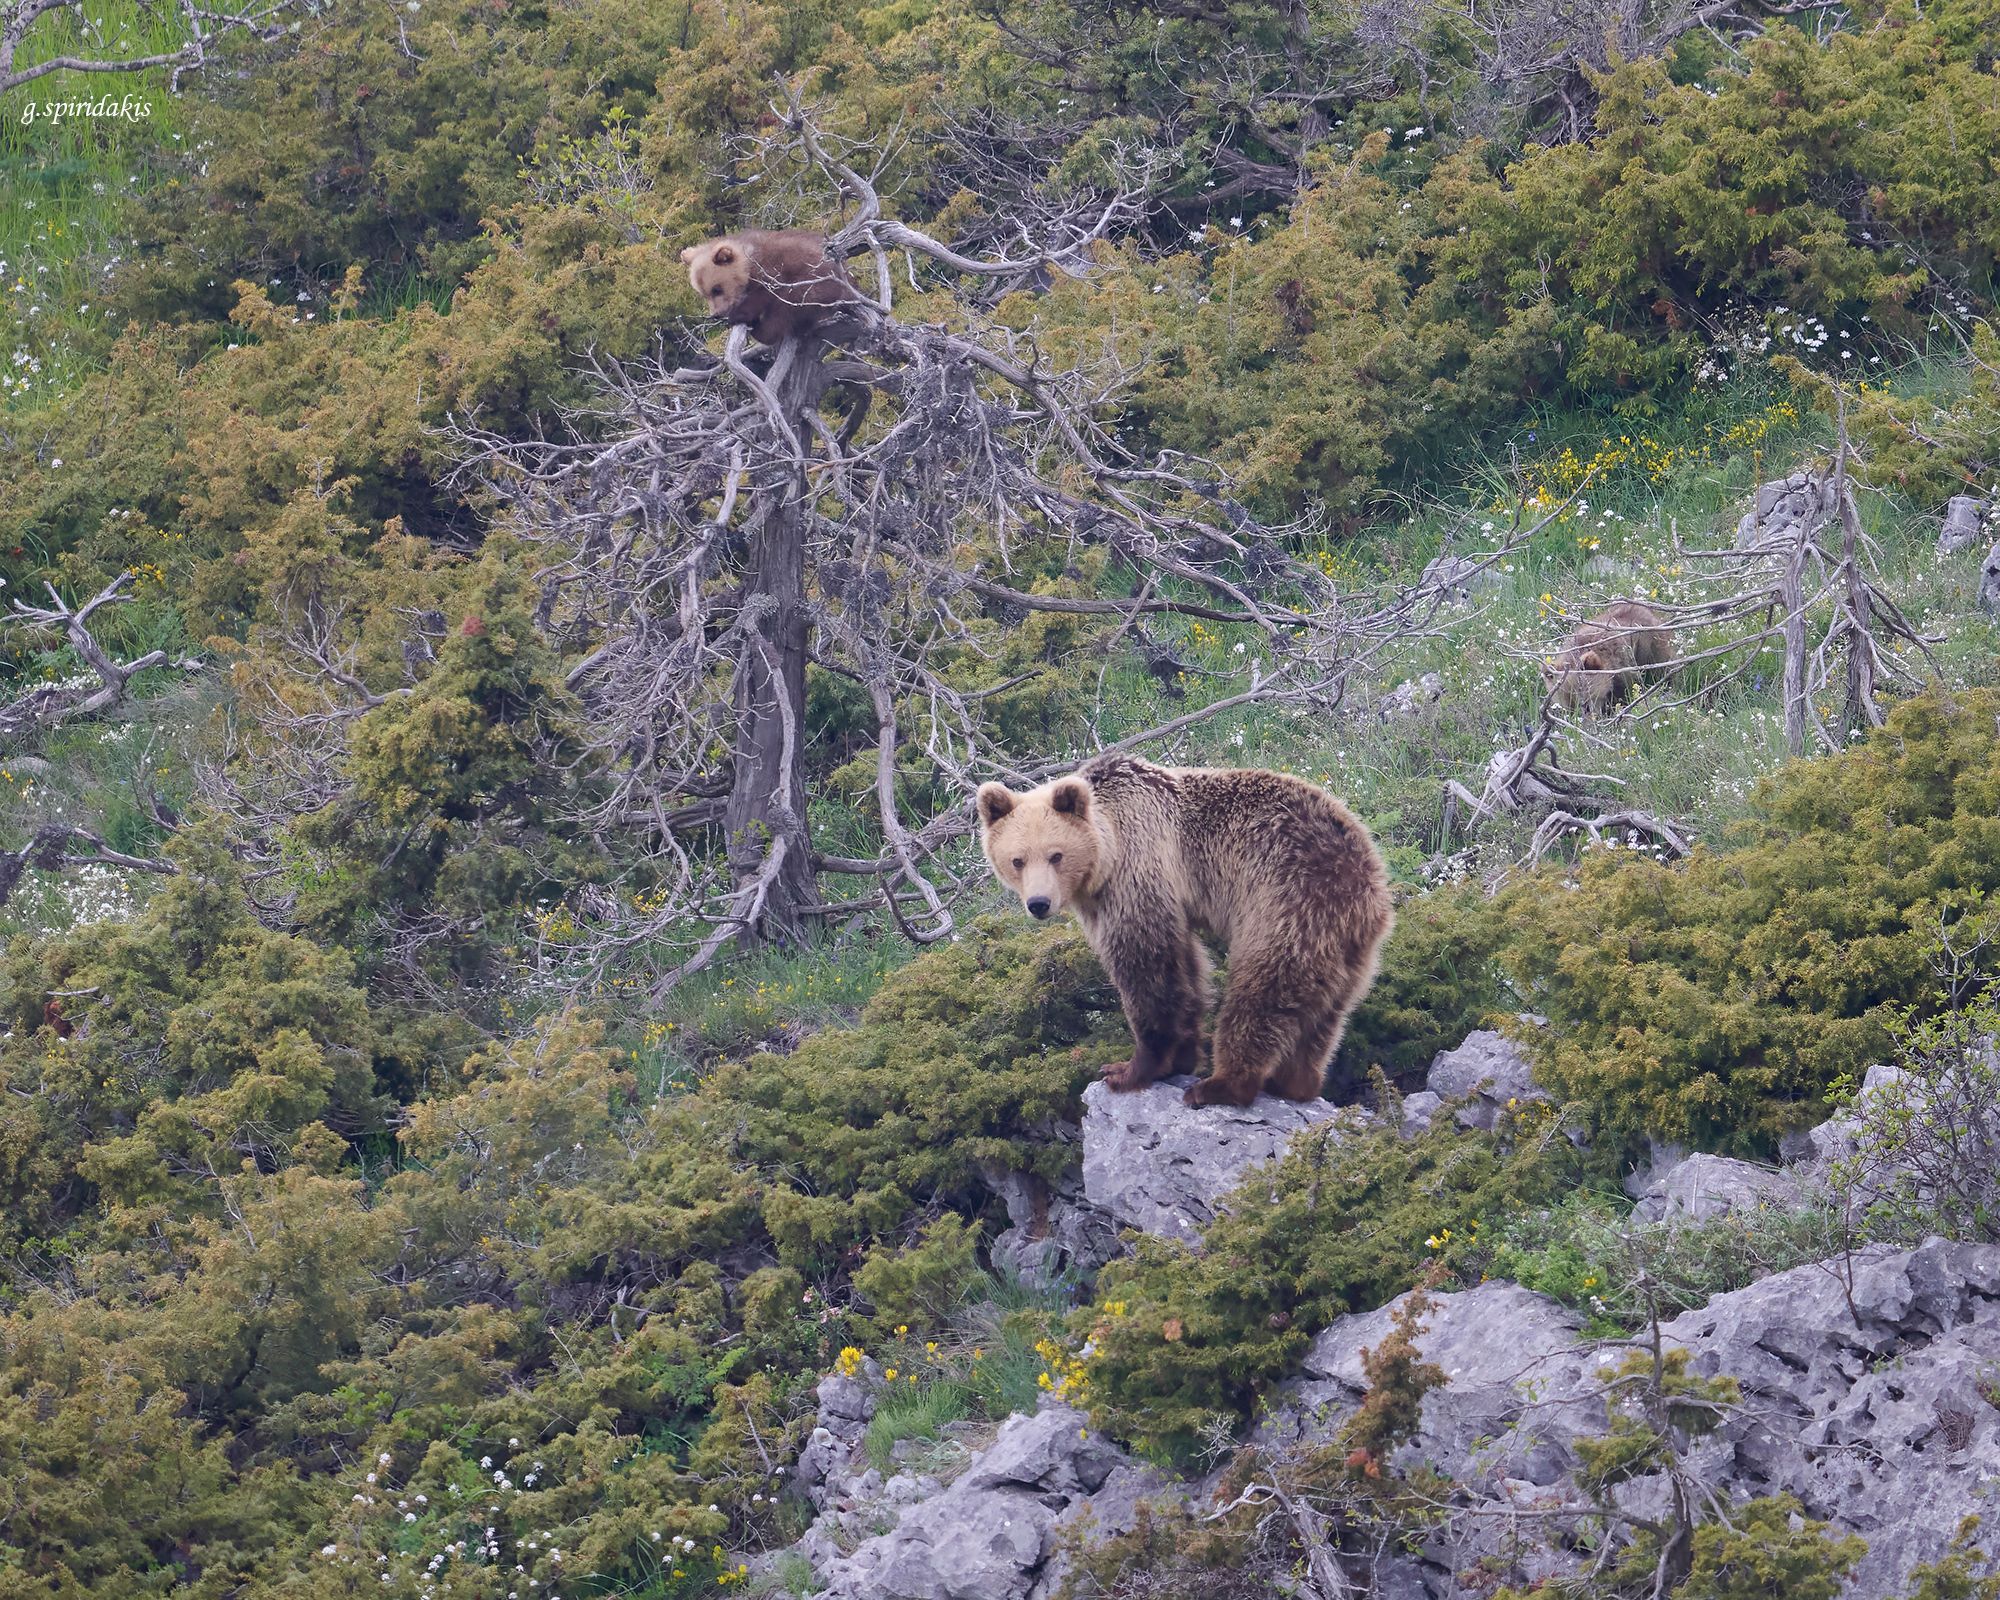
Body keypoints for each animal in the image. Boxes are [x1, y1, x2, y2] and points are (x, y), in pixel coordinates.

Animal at [678, 229, 862, 345]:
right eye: (704, 294)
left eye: (717, 289)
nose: (715, 314)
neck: (749, 265)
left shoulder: (773, 272)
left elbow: (765, 296)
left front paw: (738, 315)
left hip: (816, 286)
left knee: (786, 309)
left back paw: (761, 331)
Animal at [976, 755, 1394, 1109]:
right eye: (1017, 860)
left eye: (1056, 855)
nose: (1039, 903)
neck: (1106, 854)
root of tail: (1367, 873)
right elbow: (1186, 966)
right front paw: (1181, 1055)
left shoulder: (1138, 869)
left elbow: (1147, 962)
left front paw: (1128, 1069)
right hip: (1347, 947)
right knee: (1325, 1013)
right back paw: (1295, 1083)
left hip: (1288, 903)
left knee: (1261, 990)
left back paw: (1222, 1085)